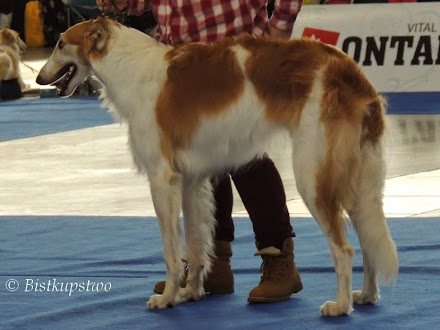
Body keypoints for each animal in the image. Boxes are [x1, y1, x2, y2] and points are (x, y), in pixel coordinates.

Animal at [36, 16, 398, 316]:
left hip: (312, 176)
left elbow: (171, 251)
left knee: (345, 249)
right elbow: (196, 246)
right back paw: (366, 296)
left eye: (61, 44)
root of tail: (351, 72)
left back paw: (340, 306)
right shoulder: (190, 181)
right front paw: (190, 293)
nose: (39, 78)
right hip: (356, 180)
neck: (131, 67)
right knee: (368, 241)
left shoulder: (162, 179)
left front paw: (167, 298)